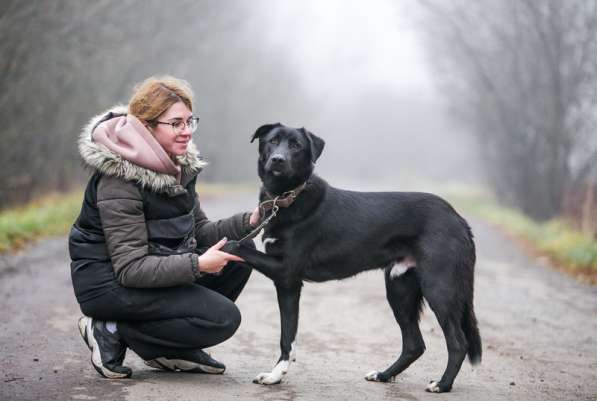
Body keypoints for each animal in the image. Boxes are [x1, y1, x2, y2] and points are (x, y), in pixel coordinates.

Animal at [222, 122, 480, 390]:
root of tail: (459, 219)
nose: (278, 160)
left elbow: (234, 247)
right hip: (399, 287)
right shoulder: (286, 285)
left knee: (458, 342)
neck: (286, 198)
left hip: (439, 287)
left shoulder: (286, 274)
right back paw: (384, 375)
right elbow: (288, 335)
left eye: (296, 146)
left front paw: (275, 376)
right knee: (414, 345)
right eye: (273, 141)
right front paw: (276, 375)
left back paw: (442, 384)